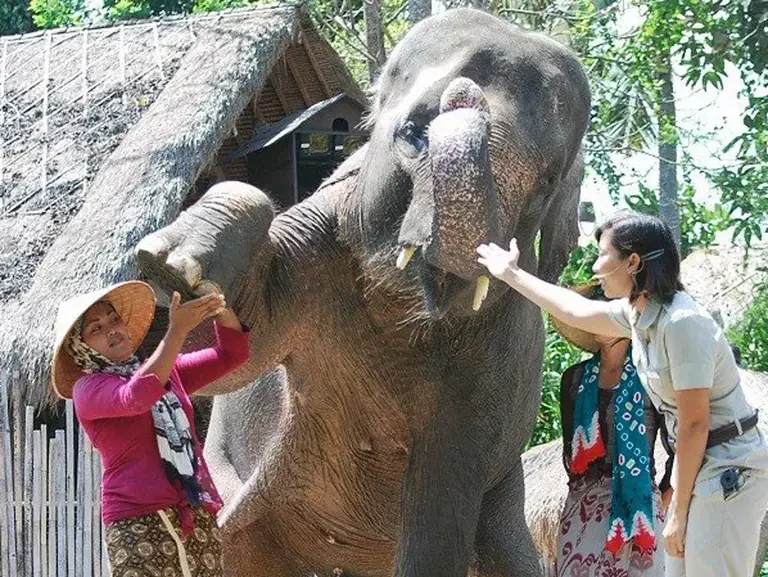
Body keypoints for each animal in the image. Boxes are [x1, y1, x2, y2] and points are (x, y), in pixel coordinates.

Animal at [135, 9, 591, 577]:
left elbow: (445, 495)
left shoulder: (503, 359)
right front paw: (172, 270)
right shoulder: (322, 241)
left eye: (547, 182)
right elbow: (237, 351)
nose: (464, 94)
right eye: (413, 133)